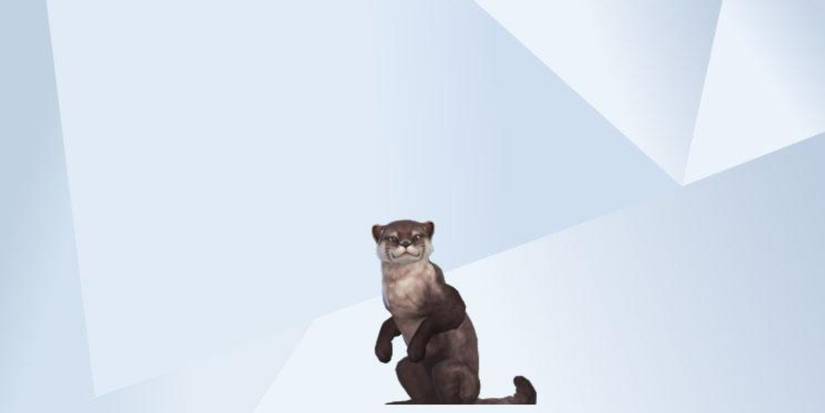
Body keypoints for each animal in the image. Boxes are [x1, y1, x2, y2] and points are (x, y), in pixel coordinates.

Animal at [372, 219, 537, 404]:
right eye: (392, 238)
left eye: (417, 236)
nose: (405, 243)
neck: (403, 293)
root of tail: (476, 396)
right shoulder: (398, 315)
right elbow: (386, 324)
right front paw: (382, 352)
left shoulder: (451, 303)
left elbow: (430, 322)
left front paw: (414, 350)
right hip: (407, 369)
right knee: (422, 390)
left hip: (447, 369)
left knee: (454, 398)